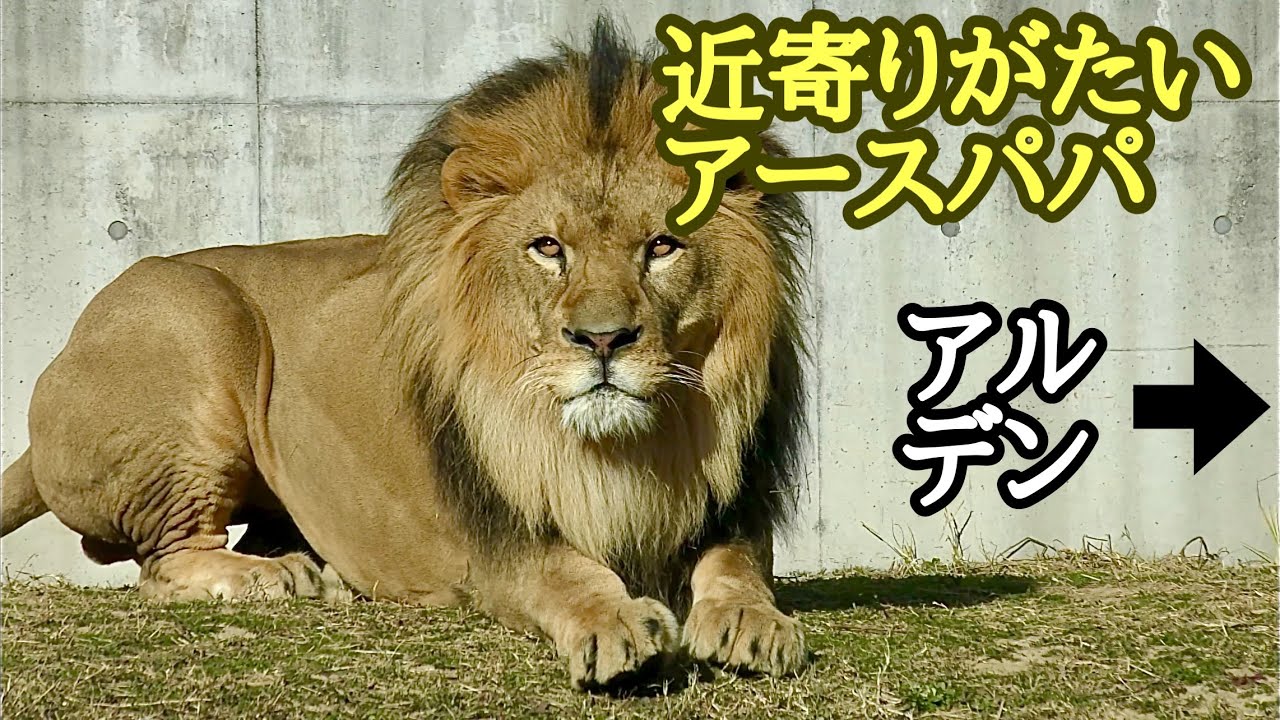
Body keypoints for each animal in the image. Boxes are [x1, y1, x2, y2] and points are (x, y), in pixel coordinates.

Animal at [1, 19, 809, 690]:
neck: (628, 448)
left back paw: (316, 571)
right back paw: (275, 578)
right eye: (548, 248)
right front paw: (614, 624)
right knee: (162, 564)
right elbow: (564, 571)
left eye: (662, 246)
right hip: (196, 315)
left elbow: (740, 563)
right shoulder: (497, 543)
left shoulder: (734, 504)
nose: (603, 340)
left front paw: (755, 622)